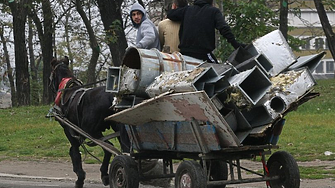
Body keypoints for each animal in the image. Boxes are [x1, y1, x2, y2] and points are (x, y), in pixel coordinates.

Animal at [49, 56, 131, 187]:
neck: (67, 91)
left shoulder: (69, 129)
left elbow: (75, 151)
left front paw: (80, 177)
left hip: (92, 131)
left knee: (109, 148)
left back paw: (106, 174)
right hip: (117, 127)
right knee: (123, 148)